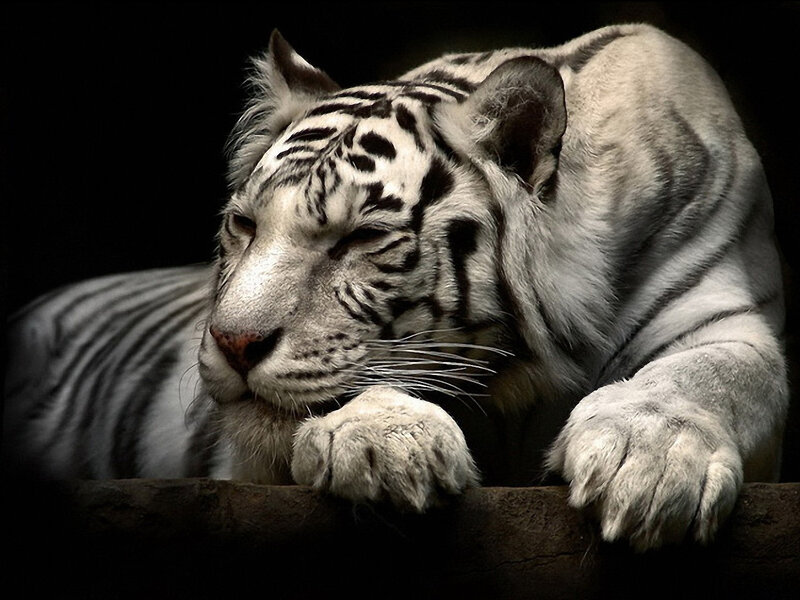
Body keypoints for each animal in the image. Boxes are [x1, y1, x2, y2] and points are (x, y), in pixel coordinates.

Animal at [3, 23, 788, 551]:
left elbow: (711, 374)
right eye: (245, 225)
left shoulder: (724, 311)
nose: (232, 343)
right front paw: (384, 442)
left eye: (358, 239)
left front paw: (649, 465)